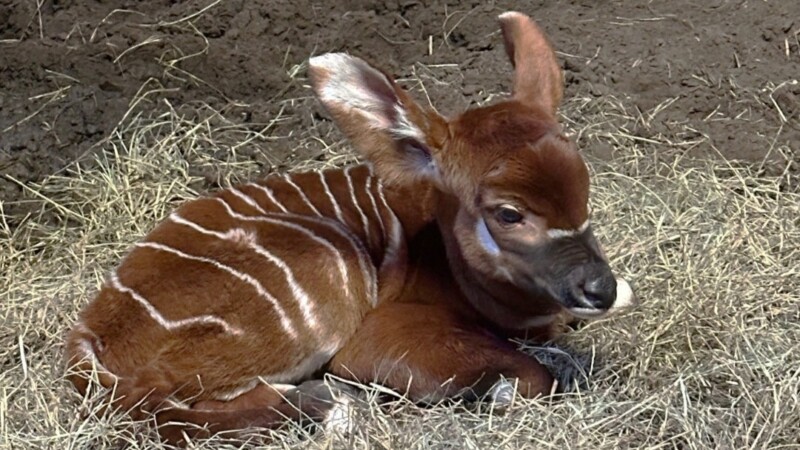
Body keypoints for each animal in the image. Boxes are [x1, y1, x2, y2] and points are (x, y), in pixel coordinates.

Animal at [64, 12, 636, 444]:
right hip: (330, 267)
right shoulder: (374, 339)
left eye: (584, 188)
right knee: (152, 399)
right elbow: (533, 375)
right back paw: (331, 408)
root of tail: (88, 342)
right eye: (508, 212)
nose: (598, 288)